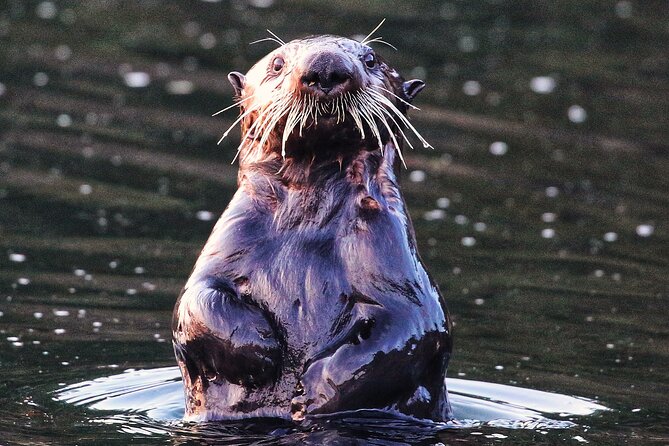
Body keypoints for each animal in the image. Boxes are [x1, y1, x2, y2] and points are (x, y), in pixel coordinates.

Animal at [172, 32, 453, 422]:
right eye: (277, 63)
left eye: (370, 59)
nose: (326, 66)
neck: (308, 223)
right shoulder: (224, 248)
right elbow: (196, 300)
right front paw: (260, 352)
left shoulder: (406, 281)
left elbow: (410, 331)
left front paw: (314, 393)